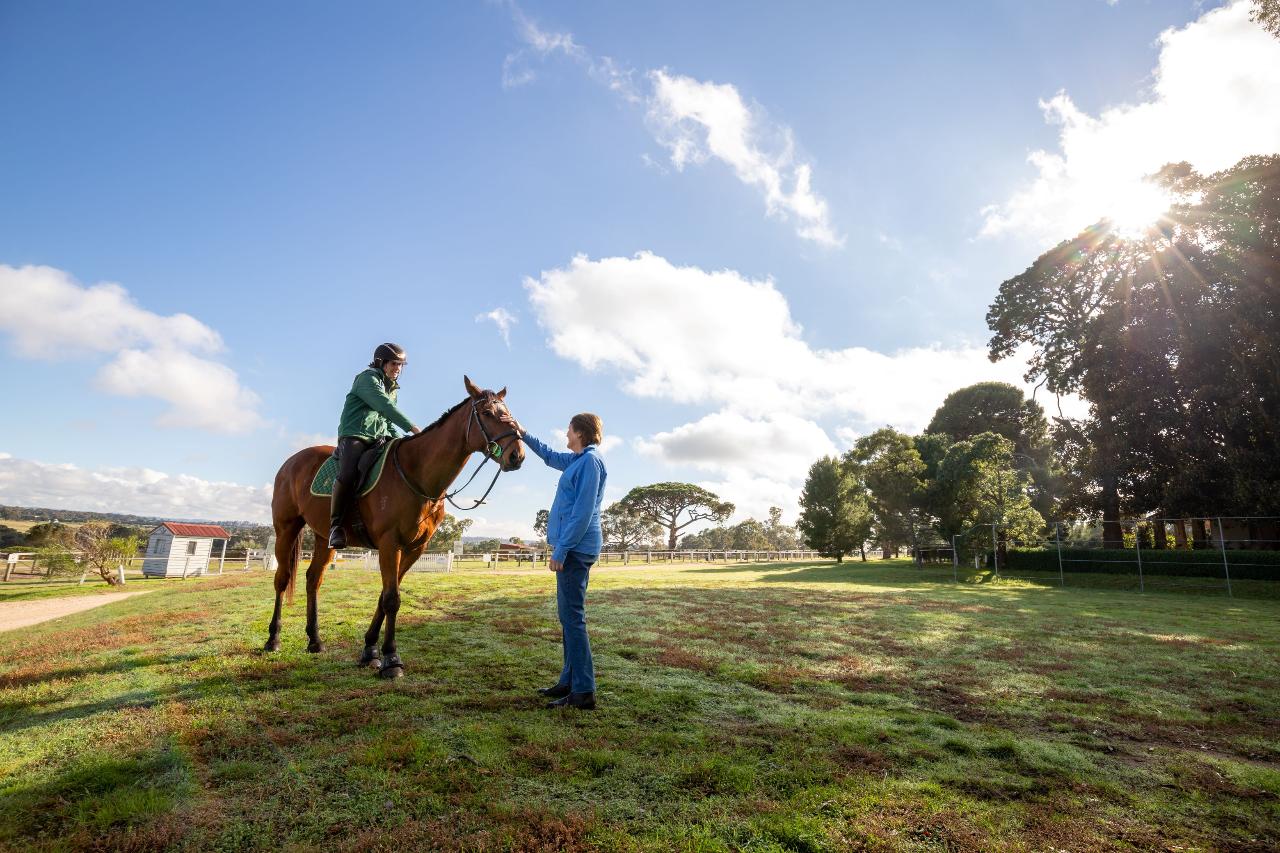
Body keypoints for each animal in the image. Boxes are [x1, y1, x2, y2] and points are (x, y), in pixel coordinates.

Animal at [264, 376, 524, 676]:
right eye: (488, 413)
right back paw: (273, 639)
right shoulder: (390, 544)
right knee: (282, 579)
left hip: (323, 538)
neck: (416, 472)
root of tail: (290, 462)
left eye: (507, 411)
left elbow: (385, 596)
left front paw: (370, 650)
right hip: (286, 529)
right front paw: (391, 658)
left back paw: (315, 640)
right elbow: (391, 599)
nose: (517, 455)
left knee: (312, 579)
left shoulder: (414, 549)